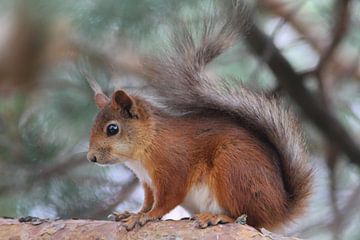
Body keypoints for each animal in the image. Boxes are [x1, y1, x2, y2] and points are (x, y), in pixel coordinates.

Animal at [86, 3, 312, 232]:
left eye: (112, 129)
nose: (91, 158)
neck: (145, 146)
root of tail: (278, 209)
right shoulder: (148, 183)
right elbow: (148, 201)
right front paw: (133, 213)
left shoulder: (172, 168)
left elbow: (167, 200)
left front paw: (147, 216)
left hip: (234, 170)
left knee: (245, 216)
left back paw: (217, 217)